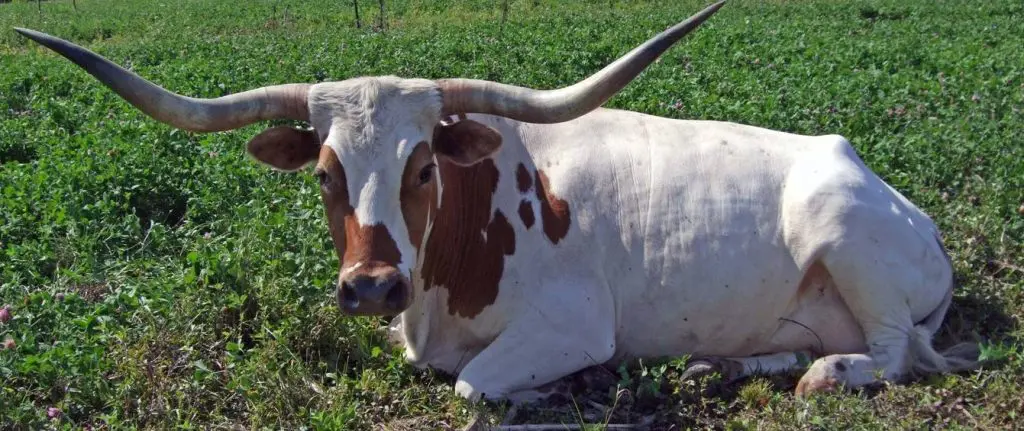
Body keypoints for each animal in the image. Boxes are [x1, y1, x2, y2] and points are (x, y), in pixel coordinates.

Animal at [15, 0, 978, 404]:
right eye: (325, 172)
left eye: (422, 168)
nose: (372, 286)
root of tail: (904, 204)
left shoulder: (573, 324)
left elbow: (474, 385)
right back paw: (724, 365)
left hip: (843, 233)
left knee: (897, 354)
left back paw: (828, 374)